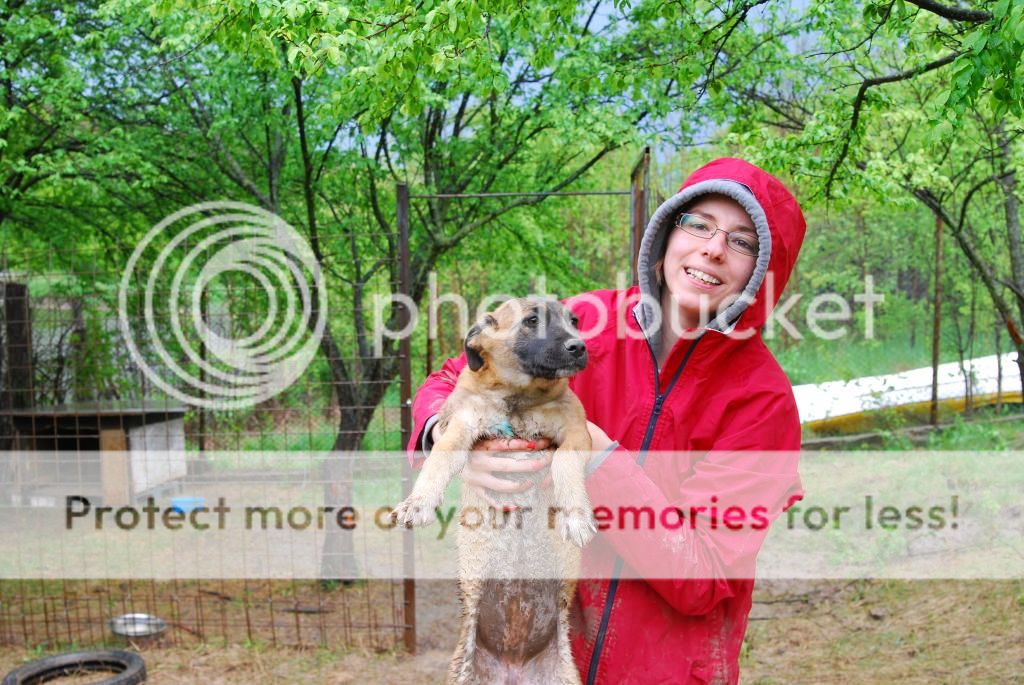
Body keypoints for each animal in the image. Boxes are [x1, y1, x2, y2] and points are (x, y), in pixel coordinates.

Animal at [395, 296, 598, 683]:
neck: (519, 398)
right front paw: (419, 502)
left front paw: (575, 515)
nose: (579, 347)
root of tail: (513, 667)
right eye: (532, 320)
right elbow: (437, 461)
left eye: (574, 320)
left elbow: (564, 465)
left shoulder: (576, 432)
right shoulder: (460, 427)